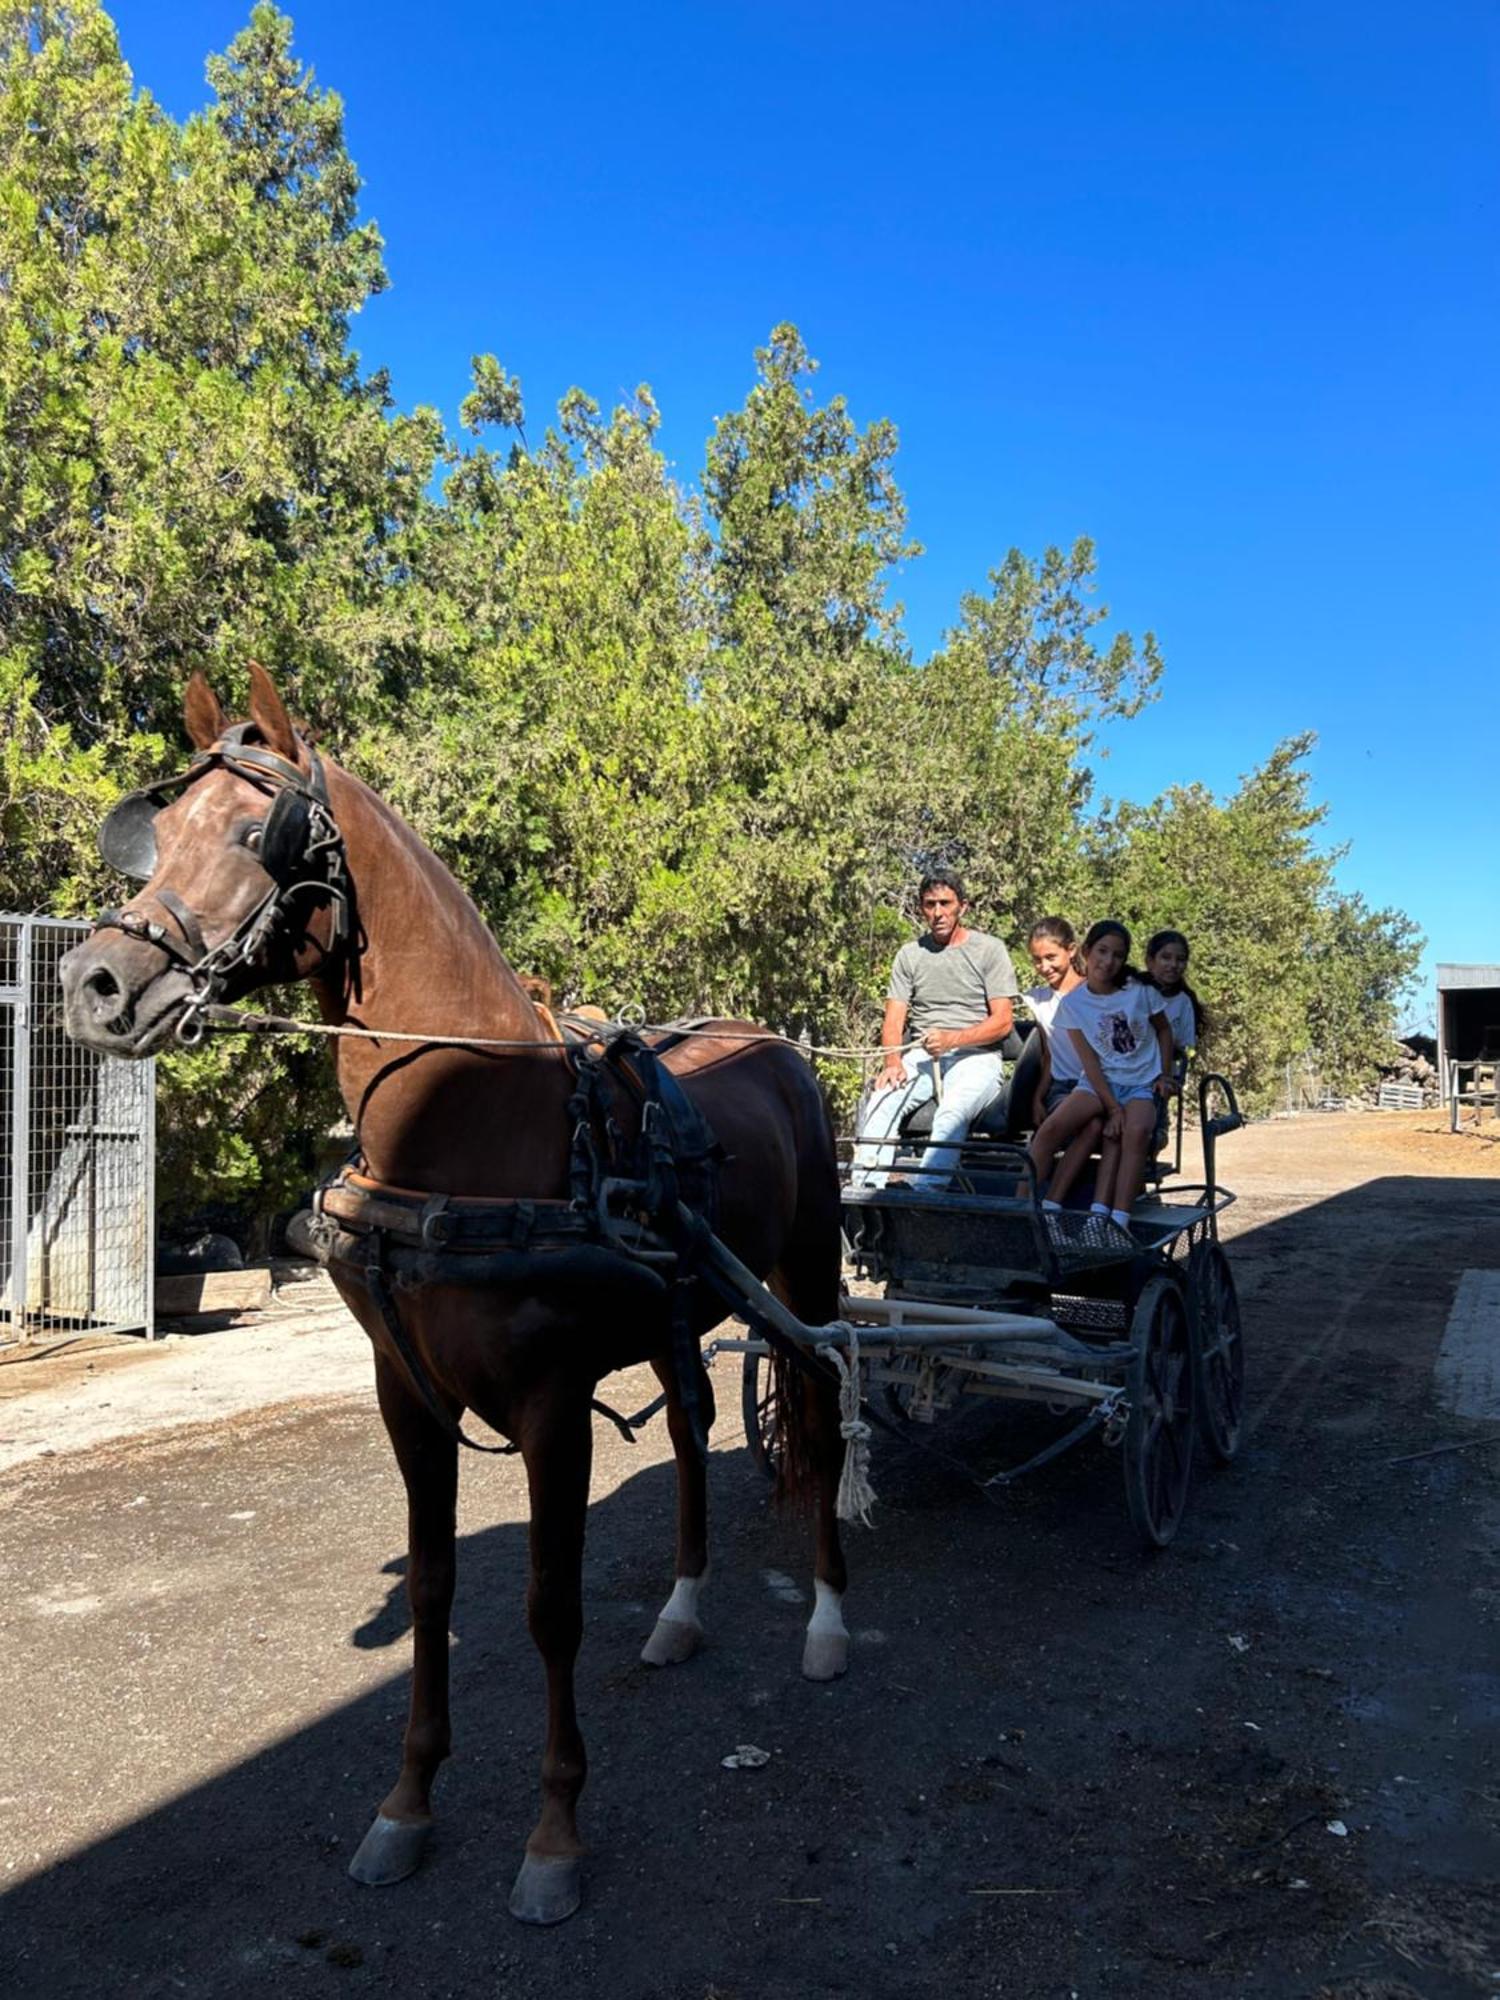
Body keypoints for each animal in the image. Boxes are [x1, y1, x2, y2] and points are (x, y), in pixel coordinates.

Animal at [58, 668, 852, 1920]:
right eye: (157, 833)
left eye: (251, 834)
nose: (92, 985)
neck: (464, 1126)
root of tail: (777, 1046)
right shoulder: (407, 1397)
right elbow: (434, 1589)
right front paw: (407, 1803)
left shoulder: (552, 1406)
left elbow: (548, 1604)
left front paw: (555, 1830)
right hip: (679, 1312)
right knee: (691, 1427)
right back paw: (681, 1610)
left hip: (805, 1267)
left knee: (819, 1409)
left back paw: (827, 1617)